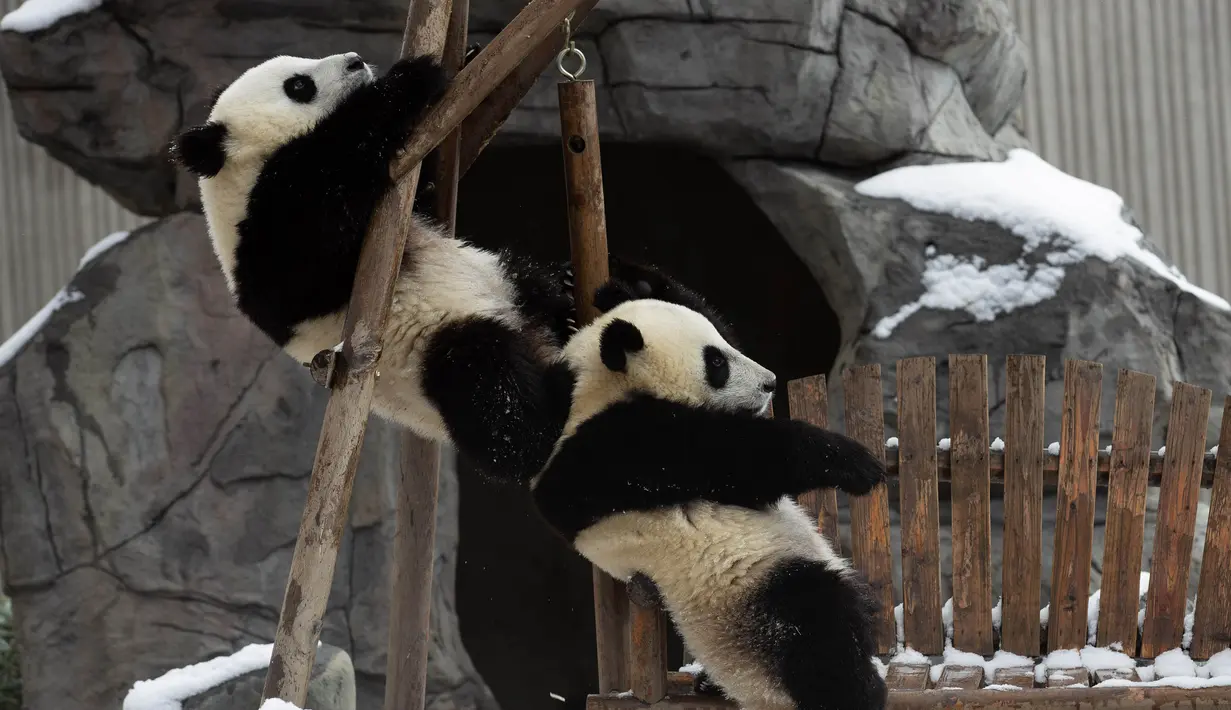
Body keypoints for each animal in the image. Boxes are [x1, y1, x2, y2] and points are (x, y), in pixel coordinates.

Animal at [531, 293, 889, 710]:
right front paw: (855, 462)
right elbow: (735, 457)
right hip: (753, 594)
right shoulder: (615, 450)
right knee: (816, 630)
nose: (770, 383)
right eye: (716, 361)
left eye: (725, 341)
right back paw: (860, 689)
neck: (598, 389)